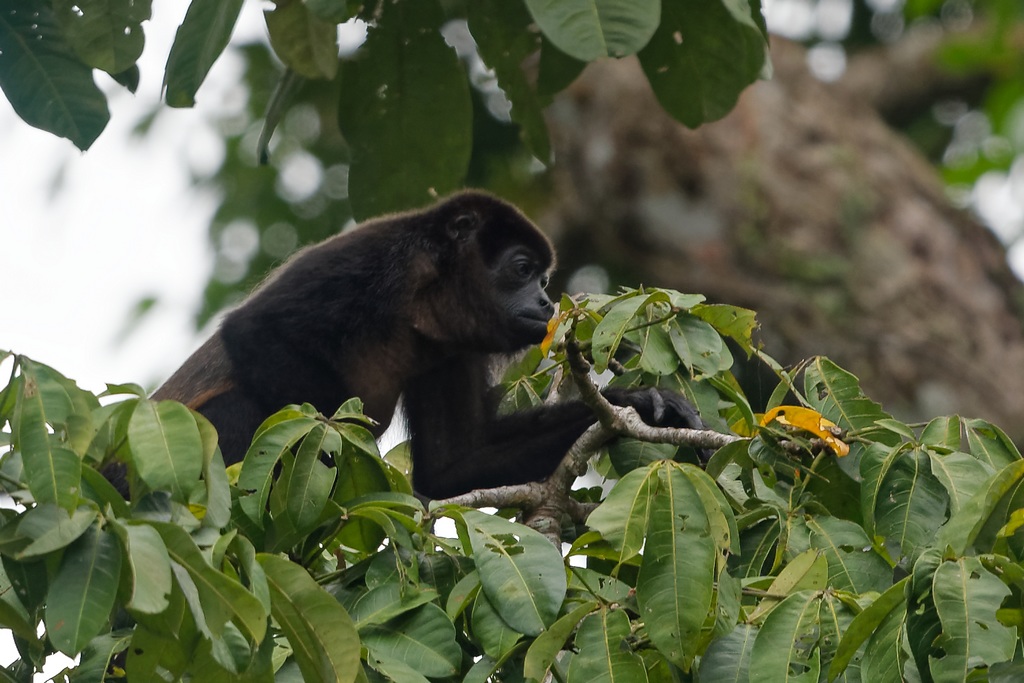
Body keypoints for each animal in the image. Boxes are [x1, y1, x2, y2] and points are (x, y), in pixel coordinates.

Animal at [141, 191, 705, 499]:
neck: (423, 301)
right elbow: (252, 329)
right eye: (522, 269)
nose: (547, 303)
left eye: (545, 280)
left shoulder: (452, 348)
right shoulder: (370, 258)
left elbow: (454, 466)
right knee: (240, 407)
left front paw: (646, 405)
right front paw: (338, 442)